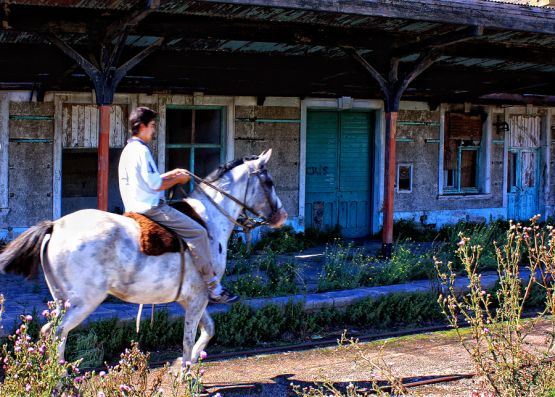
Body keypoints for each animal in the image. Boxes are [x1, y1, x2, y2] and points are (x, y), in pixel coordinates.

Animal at [0, 150, 286, 364]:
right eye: (269, 182)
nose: (282, 216)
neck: (209, 220)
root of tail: (55, 226)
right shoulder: (198, 297)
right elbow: (188, 339)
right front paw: (185, 374)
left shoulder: (190, 298)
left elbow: (208, 329)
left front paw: (186, 366)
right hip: (83, 303)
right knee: (58, 333)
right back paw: (58, 379)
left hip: (62, 302)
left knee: (50, 332)